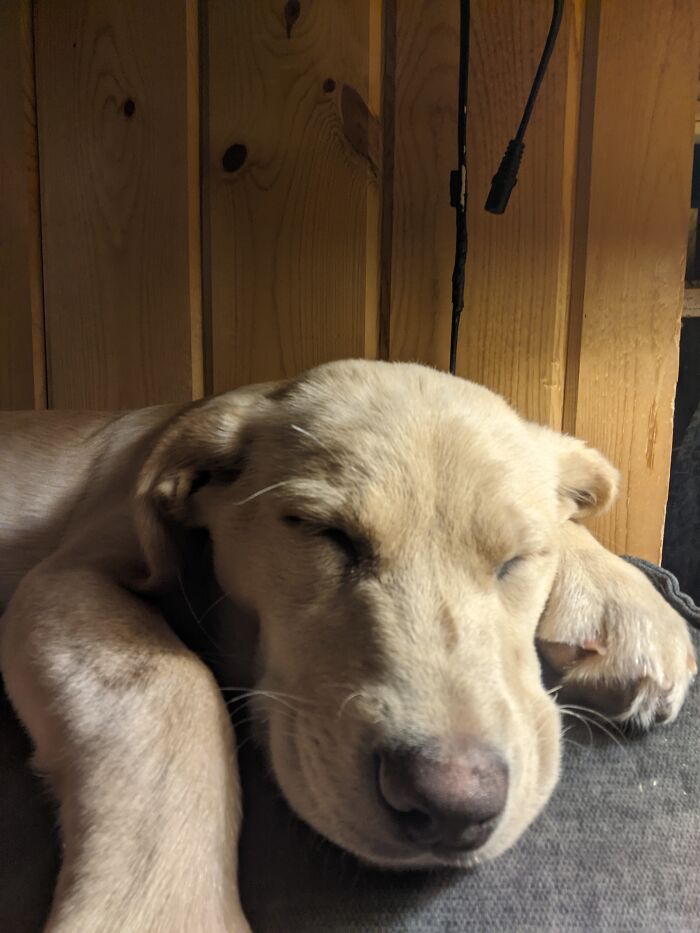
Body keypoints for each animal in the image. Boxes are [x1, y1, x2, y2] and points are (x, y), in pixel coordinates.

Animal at [0, 359, 696, 932]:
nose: (452, 806)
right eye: (322, 532)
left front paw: (622, 599)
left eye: (516, 560)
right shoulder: (64, 580)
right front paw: (161, 912)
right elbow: (169, 683)